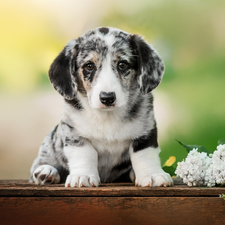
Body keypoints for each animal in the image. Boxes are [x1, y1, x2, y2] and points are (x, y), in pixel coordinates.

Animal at [29, 26, 173, 188]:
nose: (107, 97)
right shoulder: (73, 132)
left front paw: (152, 175)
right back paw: (47, 172)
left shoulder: (146, 132)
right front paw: (83, 176)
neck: (107, 116)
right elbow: (85, 153)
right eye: (89, 66)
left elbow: (145, 155)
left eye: (122, 64)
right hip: (50, 144)